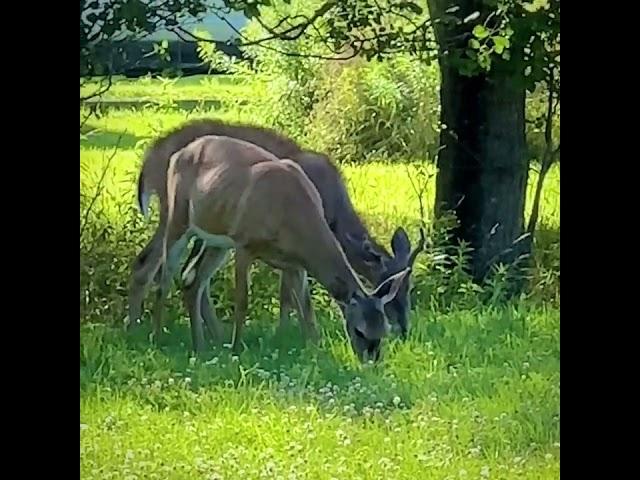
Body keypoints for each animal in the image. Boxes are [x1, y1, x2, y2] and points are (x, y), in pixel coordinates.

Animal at [126, 119, 424, 352]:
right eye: (392, 287)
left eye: (409, 287)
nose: (404, 328)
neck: (334, 213)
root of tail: (148, 160)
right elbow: (286, 293)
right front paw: (282, 333)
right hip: (173, 213)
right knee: (149, 264)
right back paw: (138, 330)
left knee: (189, 274)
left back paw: (211, 337)